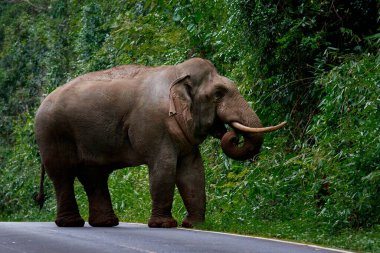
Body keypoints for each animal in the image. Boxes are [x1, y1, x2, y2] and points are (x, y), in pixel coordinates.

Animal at [35, 58, 284, 228]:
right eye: (219, 93)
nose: (231, 134)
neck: (178, 73)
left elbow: (193, 172)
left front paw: (195, 226)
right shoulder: (154, 125)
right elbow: (163, 167)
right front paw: (165, 225)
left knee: (94, 176)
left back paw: (106, 223)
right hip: (52, 133)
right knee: (63, 175)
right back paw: (71, 223)